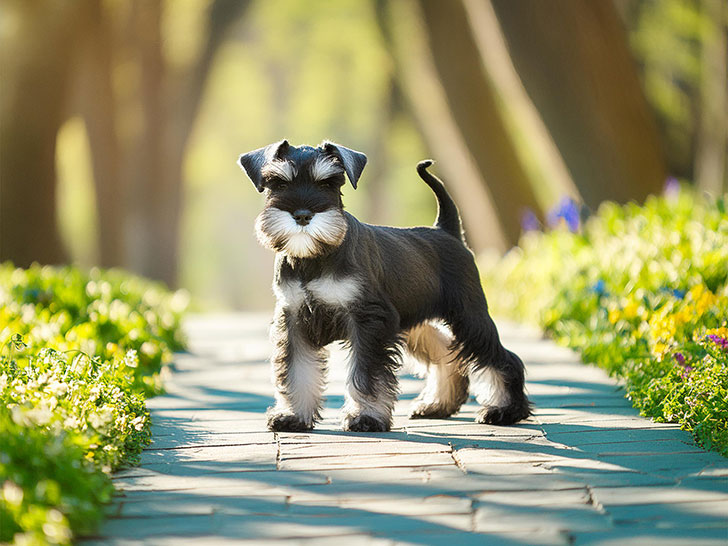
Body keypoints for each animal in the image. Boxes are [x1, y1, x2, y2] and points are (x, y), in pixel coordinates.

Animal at [239, 142, 528, 432]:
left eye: (329, 183)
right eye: (278, 183)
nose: (302, 215)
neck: (315, 257)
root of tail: (447, 231)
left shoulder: (369, 320)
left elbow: (366, 373)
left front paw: (365, 417)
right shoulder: (293, 319)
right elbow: (295, 371)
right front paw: (292, 415)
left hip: (468, 317)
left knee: (500, 358)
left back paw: (505, 410)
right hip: (414, 322)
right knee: (447, 353)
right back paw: (436, 404)